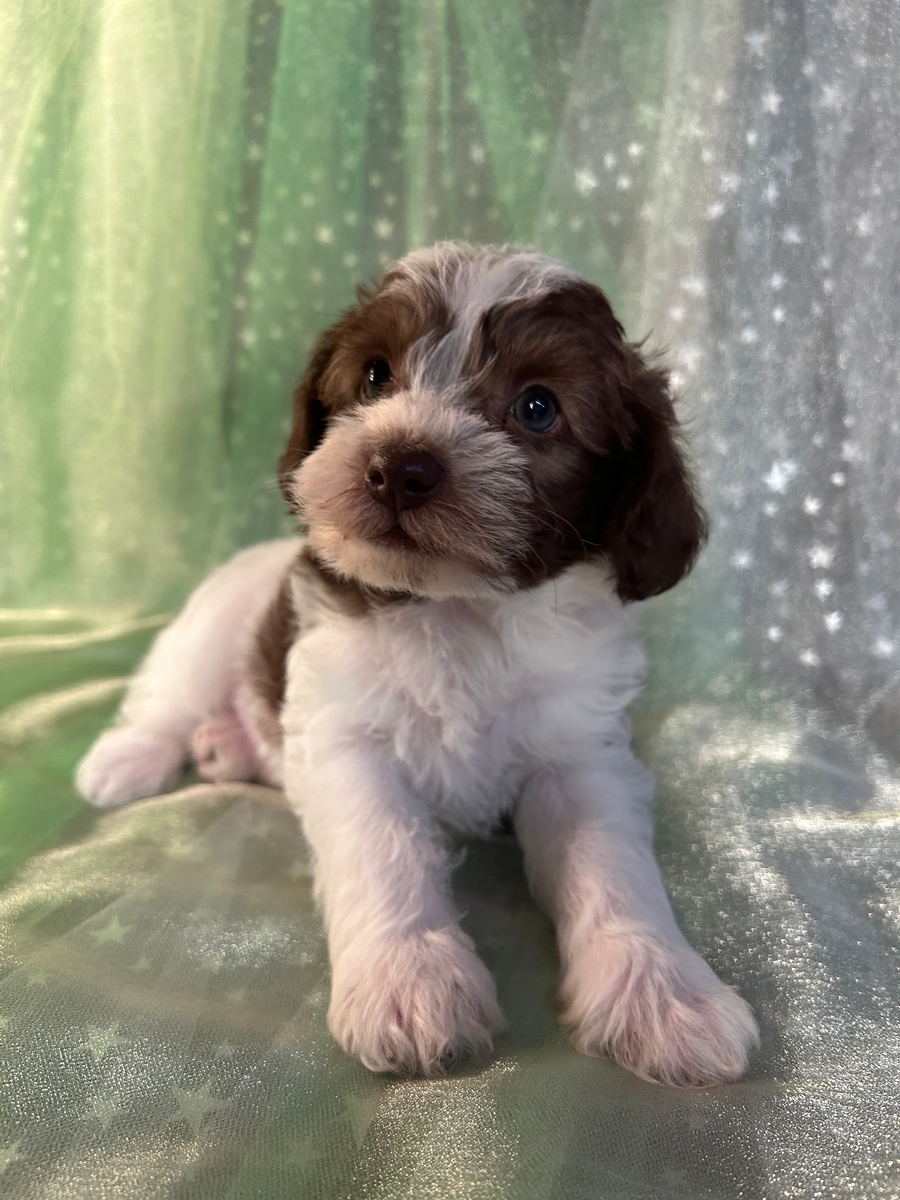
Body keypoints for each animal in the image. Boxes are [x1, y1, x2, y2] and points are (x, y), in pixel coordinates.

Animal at [75, 243, 763, 1089]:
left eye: (538, 407)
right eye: (375, 376)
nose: (397, 464)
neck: (455, 608)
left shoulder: (580, 749)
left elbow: (612, 862)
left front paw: (662, 989)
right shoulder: (345, 733)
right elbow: (384, 846)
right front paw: (407, 980)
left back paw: (227, 747)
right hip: (214, 620)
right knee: (169, 695)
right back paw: (128, 760)